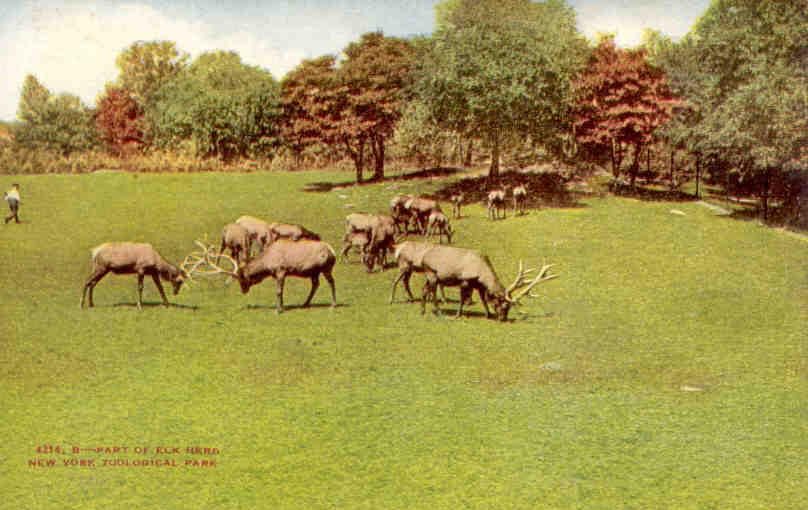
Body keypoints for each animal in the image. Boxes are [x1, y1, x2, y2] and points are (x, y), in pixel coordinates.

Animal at [191, 240, 336, 314]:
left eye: (242, 279)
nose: (243, 291)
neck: (267, 264)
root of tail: (332, 251)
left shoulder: (281, 270)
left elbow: (278, 292)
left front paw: (278, 310)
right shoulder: (278, 274)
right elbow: (281, 292)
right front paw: (282, 307)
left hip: (326, 268)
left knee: (331, 282)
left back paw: (333, 304)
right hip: (314, 271)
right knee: (316, 284)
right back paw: (305, 304)